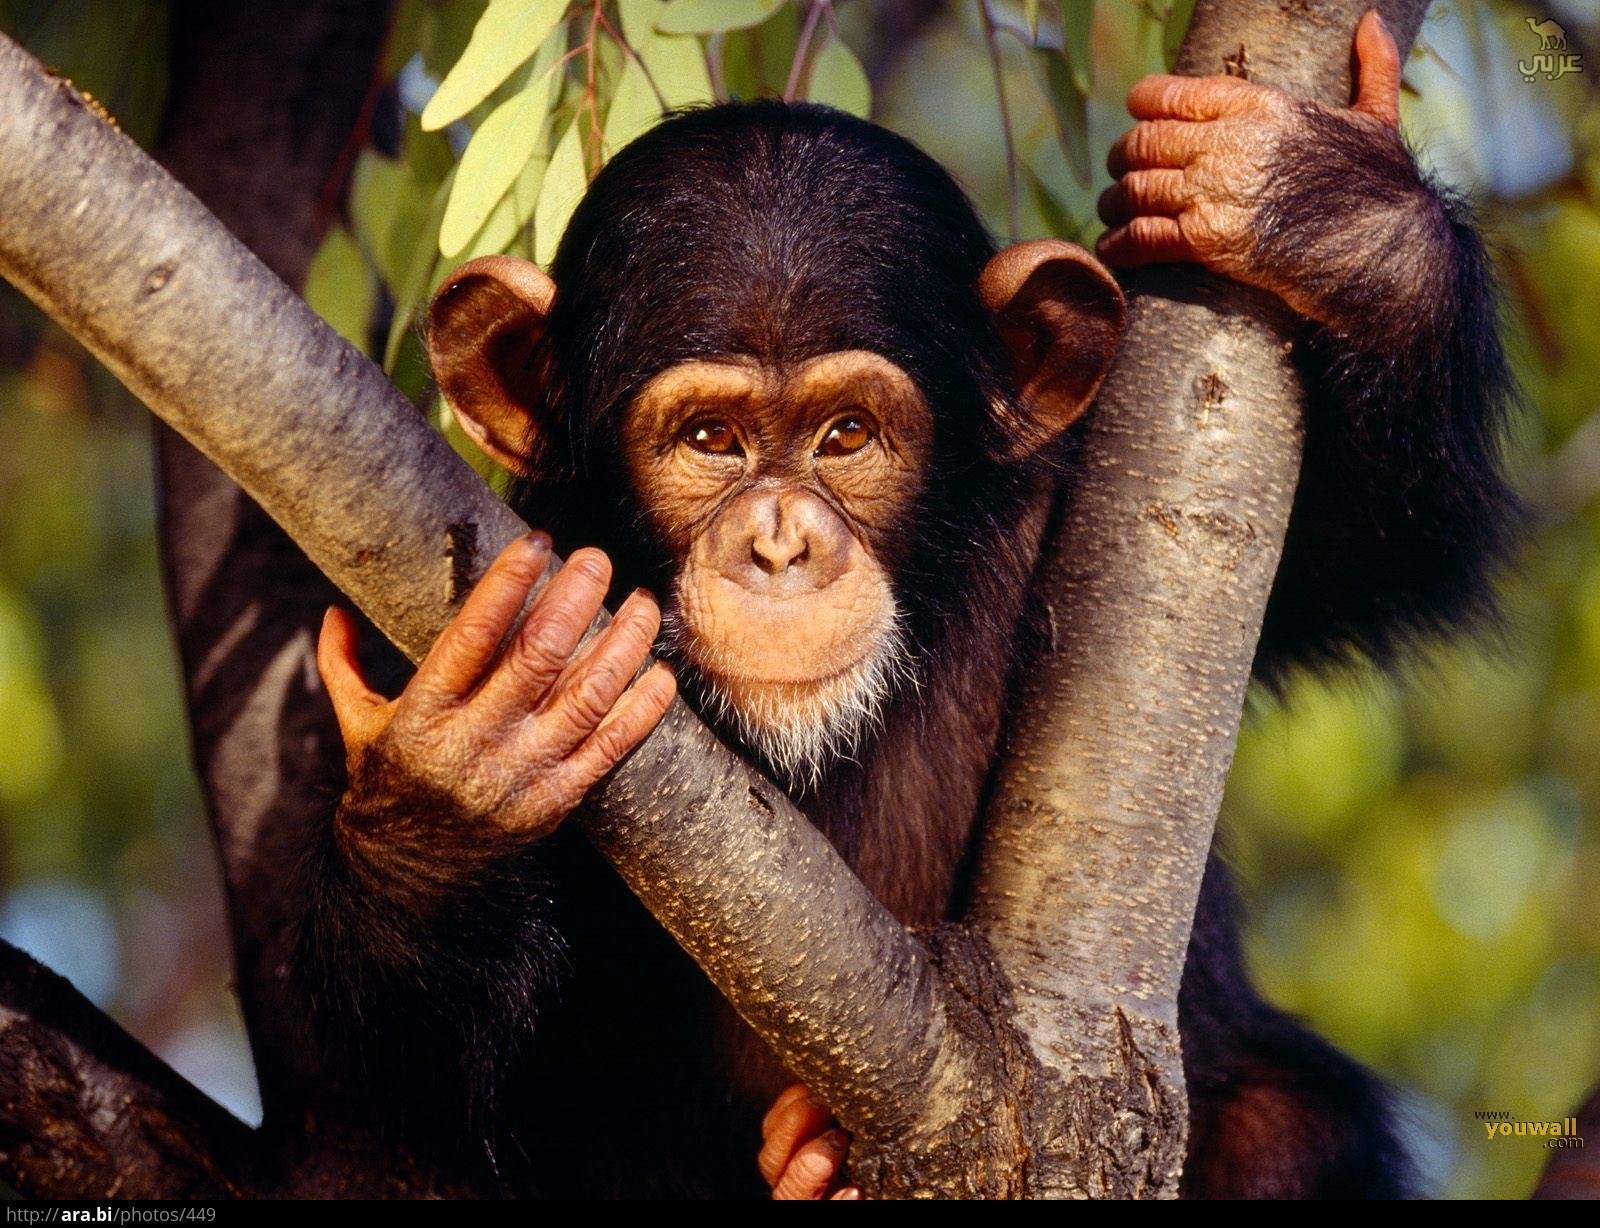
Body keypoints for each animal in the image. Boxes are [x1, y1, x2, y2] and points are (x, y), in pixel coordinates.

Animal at [297, 11, 1510, 1202]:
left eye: (846, 435)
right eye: (709, 440)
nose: (780, 543)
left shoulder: (1082, 503)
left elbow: (1374, 545)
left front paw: (1329, 214)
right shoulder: (454, 573)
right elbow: (405, 1105)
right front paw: (459, 781)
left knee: (1285, 1125)